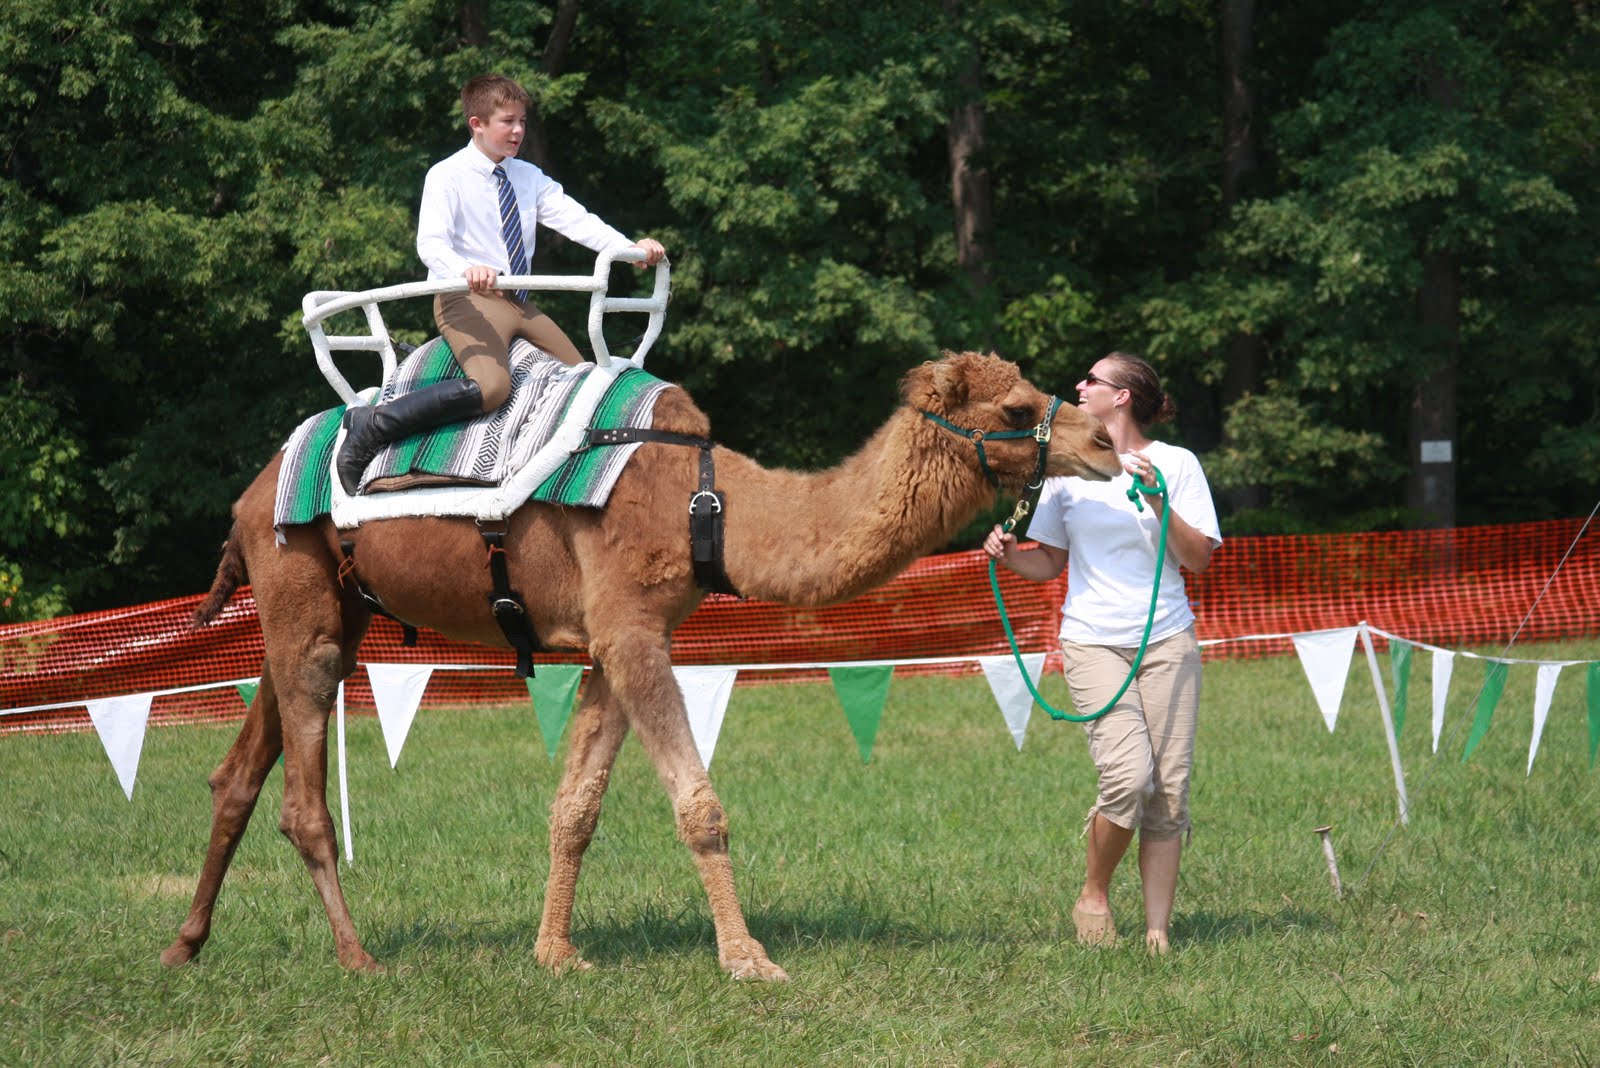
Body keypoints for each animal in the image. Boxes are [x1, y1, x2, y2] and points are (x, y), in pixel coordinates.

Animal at [163, 351, 1121, 981]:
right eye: (1015, 409)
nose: (1108, 446)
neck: (709, 504)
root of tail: (251, 496)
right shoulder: (630, 630)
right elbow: (699, 806)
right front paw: (748, 960)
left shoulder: (610, 643)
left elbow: (575, 807)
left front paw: (555, 953)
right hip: (299, 590)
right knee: (300, 801)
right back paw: (357, 956)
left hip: (335, 606)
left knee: (237, 773)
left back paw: (184, 943)